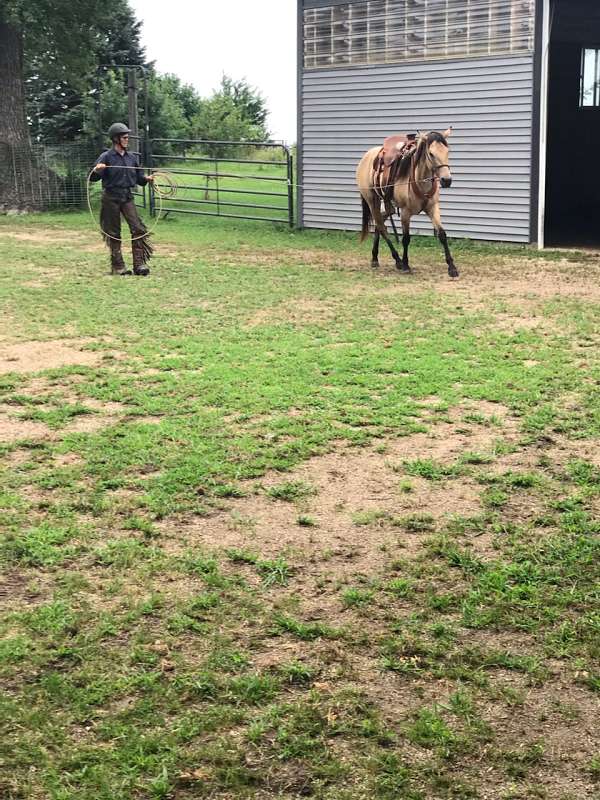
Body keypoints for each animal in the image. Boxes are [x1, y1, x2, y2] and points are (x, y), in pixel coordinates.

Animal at [356, 130, 460, 280]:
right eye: (431, 153)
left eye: (447, 151)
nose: (447, 180)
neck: (420, 179)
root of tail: (366, 156)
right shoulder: (405, 212)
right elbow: (406, 238)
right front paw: (406, 265)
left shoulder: (433, 208)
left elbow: (442, 234)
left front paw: (452, 267)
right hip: (372, 201)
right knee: (381, 227)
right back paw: (398, 260)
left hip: (388, 207)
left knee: (379, 224)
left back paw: (375, 258)